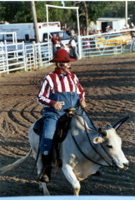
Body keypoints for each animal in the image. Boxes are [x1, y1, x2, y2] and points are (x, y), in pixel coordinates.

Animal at [0, 114, 129, 195]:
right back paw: (45, 190)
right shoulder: (66, 167)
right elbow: (76, 186)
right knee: (40, 169)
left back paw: (41, 185)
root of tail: (33, 125)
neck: (83, 142)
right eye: (109, 145)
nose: (125, 164)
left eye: (120, 143)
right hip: (38, 153)